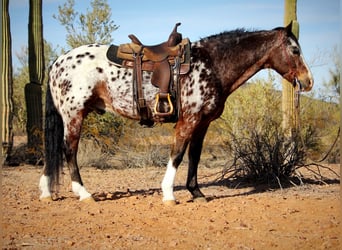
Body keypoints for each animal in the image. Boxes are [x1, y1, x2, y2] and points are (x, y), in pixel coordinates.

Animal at [39, 23, 312, 205]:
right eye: (295, 50)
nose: (308, 81)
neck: (212, 65)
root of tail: (57, 62)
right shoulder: (188, 121)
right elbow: (177, 154)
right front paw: (169, 194)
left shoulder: (202, 124)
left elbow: (194, 157)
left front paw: (196, 192)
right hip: (74, 115)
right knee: (69, 151)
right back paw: (84, 194)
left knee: (54, 151)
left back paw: (46, 192)